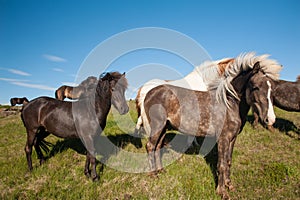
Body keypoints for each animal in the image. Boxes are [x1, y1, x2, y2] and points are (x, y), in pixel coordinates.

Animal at [141, 52, 282, 199]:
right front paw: (222, 192)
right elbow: (221, 164)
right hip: (157, 126)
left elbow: (228, 161)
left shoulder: (233, 138)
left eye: (271, 89)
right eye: (255, 86)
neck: (229, 104)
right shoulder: (223, 138)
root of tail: (148, 93)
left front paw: (229, 185)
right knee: (150, 146)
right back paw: (153, 175)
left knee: (157, 146)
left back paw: (161, 171)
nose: (270, 119)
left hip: (164, 128)